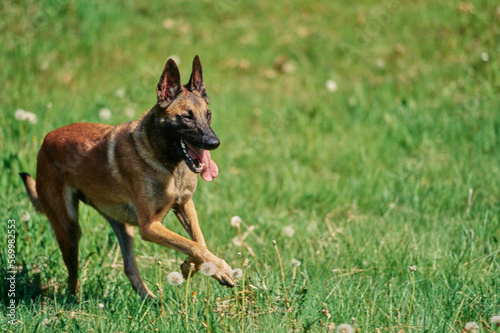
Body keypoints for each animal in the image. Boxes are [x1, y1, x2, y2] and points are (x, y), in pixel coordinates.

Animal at [20, 55, 235, 296]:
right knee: (72, 275)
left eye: (208, 115)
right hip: (69, 229)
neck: (166, 162)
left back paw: (151, 299)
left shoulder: (184, 205)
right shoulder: (149, 226)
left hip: (123, 228)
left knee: (129, 267)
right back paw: (74, 299)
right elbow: (193, 244)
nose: (214, 143)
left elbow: (199, 243)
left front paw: (191, 266)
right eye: (187, 117)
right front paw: (221, 268)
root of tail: (45, 141)